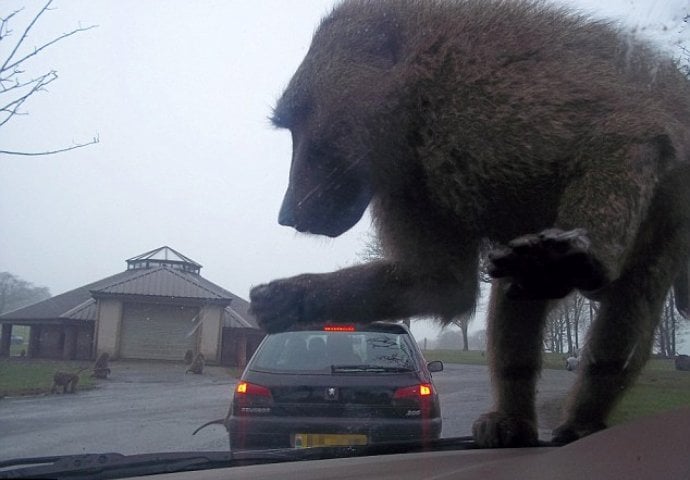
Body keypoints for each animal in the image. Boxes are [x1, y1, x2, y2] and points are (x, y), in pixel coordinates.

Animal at [249, 0, 688, 446]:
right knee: (520, 289)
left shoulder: (483, 98)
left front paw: (570, 257)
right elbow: (442, 284)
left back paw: (581, 419)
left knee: (631, 295)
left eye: (300, 120)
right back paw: (513, 422)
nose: (287, 214)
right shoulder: (412, 183)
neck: (416, 91)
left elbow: (626, 127)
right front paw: (291, 298)